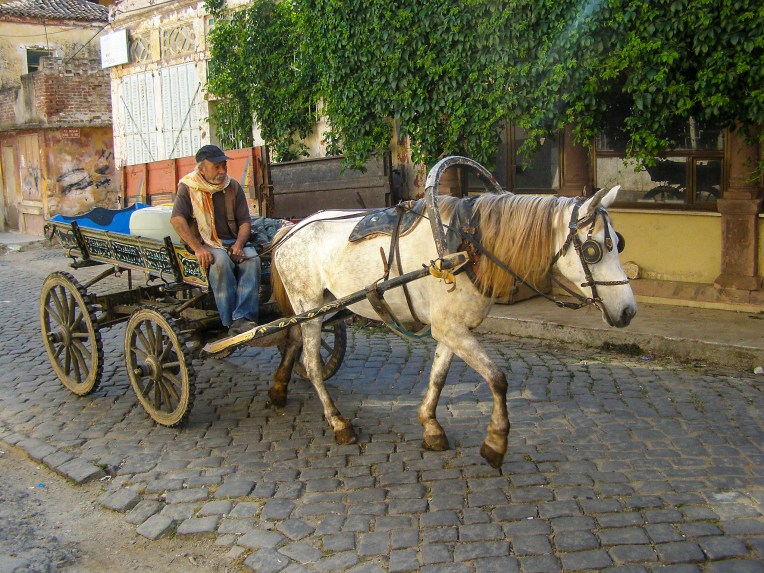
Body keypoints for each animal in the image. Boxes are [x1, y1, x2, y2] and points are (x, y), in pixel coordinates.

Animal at [268, 184, 636, 469]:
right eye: (593, 250)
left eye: (618, 242)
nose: (629, 311)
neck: (467, 249)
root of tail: (289, 230)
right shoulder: (450, 328)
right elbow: (497, 379)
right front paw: (495, 441)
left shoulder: (452, 328)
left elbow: (439, 376)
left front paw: (431, 426)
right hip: (309, 306)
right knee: (312, 364)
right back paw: (337, 421)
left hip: (319, 309)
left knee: (291, 337)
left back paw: (279, 388)